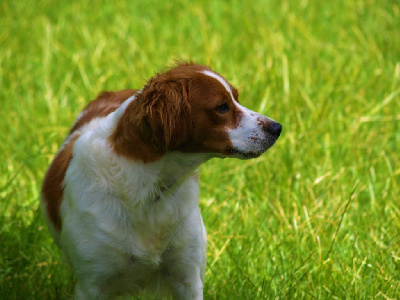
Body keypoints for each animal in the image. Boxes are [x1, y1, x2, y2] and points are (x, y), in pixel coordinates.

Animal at [41, 62, 282, 298]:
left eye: (237, 98)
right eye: (222, 106)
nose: (277, 127)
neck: (145, 191)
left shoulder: (187, 278)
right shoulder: (92, 284)